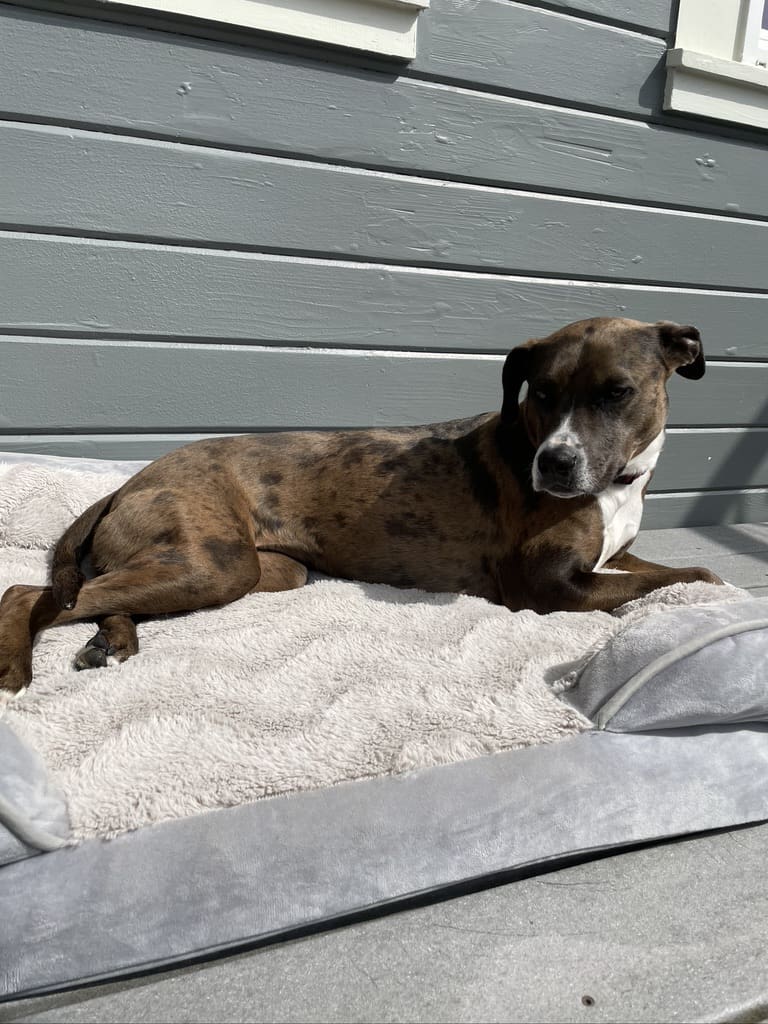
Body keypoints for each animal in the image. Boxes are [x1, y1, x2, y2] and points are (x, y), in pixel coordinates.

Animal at [0, 315, 720, 700]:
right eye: (540, 393)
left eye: (617, 392)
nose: (555, 464)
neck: (618, 482)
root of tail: (132, 478)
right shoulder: (548, 587)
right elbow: (680, 577)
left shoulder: (608, 557)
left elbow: (661, 569)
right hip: (217, 564)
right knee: (24, 593)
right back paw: (17, 666)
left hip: (257, 571)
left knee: (90, 592)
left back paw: (112, 640)